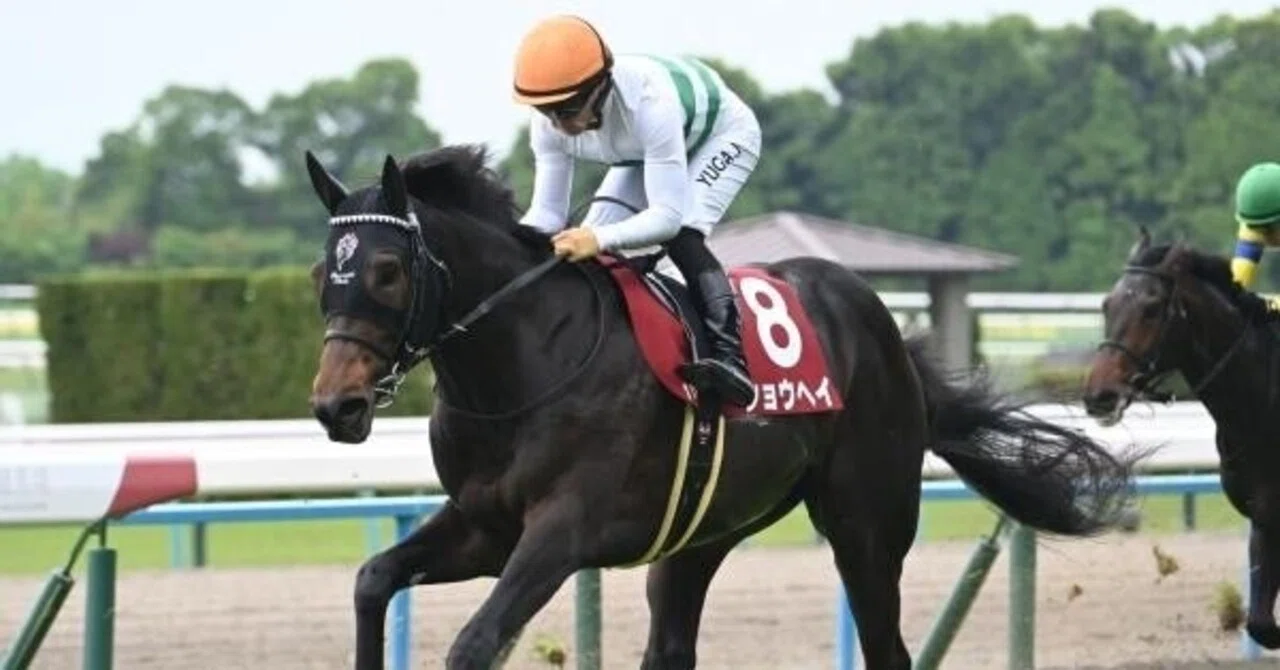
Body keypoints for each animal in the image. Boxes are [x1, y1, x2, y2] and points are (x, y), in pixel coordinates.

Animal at [303, 143, 1142, 670]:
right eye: (321, 271)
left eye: (386, 269)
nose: (336, 405)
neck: (524, 362)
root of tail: (885, 329)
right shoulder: (484, 526)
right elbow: (372, 580)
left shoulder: (560, 530)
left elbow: (474, 644)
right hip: (703, 529)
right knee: (673, 644)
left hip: (867, 522)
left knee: (888, 647)